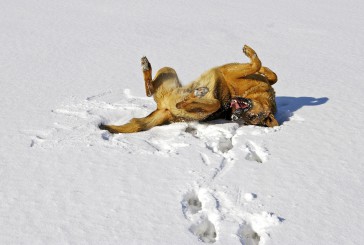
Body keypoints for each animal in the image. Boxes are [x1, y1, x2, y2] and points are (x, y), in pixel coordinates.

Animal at [98, 44, 278, 133]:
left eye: (251, 119)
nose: (234, 117)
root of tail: (164, 110)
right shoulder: (232, 70)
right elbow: (270, 73)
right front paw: (256, 59)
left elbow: (256, 64)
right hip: (168, 70)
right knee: (149, 89)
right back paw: (146, 66)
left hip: (202, 106)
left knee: (187, 102)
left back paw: (197, 93)